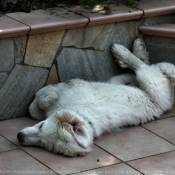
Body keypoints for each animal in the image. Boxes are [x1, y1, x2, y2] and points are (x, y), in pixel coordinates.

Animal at [17, 39, 175, 157]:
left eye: (42, 142)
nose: (19, 136)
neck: (81, 114)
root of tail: (164, 104)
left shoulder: (76, 86)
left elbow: (42, 100)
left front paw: (43, 98)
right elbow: (37, 107)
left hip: (152, 83)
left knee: (144, 67)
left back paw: (121, 51)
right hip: (119, 81)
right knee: (139, 69)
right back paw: (138, 48)